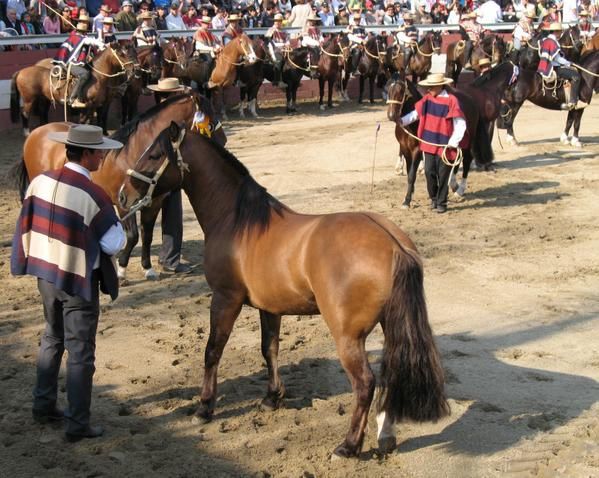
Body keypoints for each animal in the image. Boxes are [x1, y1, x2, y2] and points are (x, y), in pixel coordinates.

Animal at [14, 90, 226, 280]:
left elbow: (147, 235)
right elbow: (132, 236)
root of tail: (37, 132)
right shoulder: (125, 202)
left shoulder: (152, 203)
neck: (133, 152)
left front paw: (148, 268)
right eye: (210, 121)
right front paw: (121, 270)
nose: (223, 141)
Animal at [119, 128, 452, 460]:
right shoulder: (269, 307)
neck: (237, 222)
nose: (123, 196)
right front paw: (272, 397)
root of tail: (394, 245)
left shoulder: (225, 299)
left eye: (154, 154)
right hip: (390, 325)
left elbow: (213, 350)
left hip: (348, 337)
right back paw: (386, 437)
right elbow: (270, 349)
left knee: (365, 384)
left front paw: (204, 407)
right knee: (390, 375)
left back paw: (348, 446)